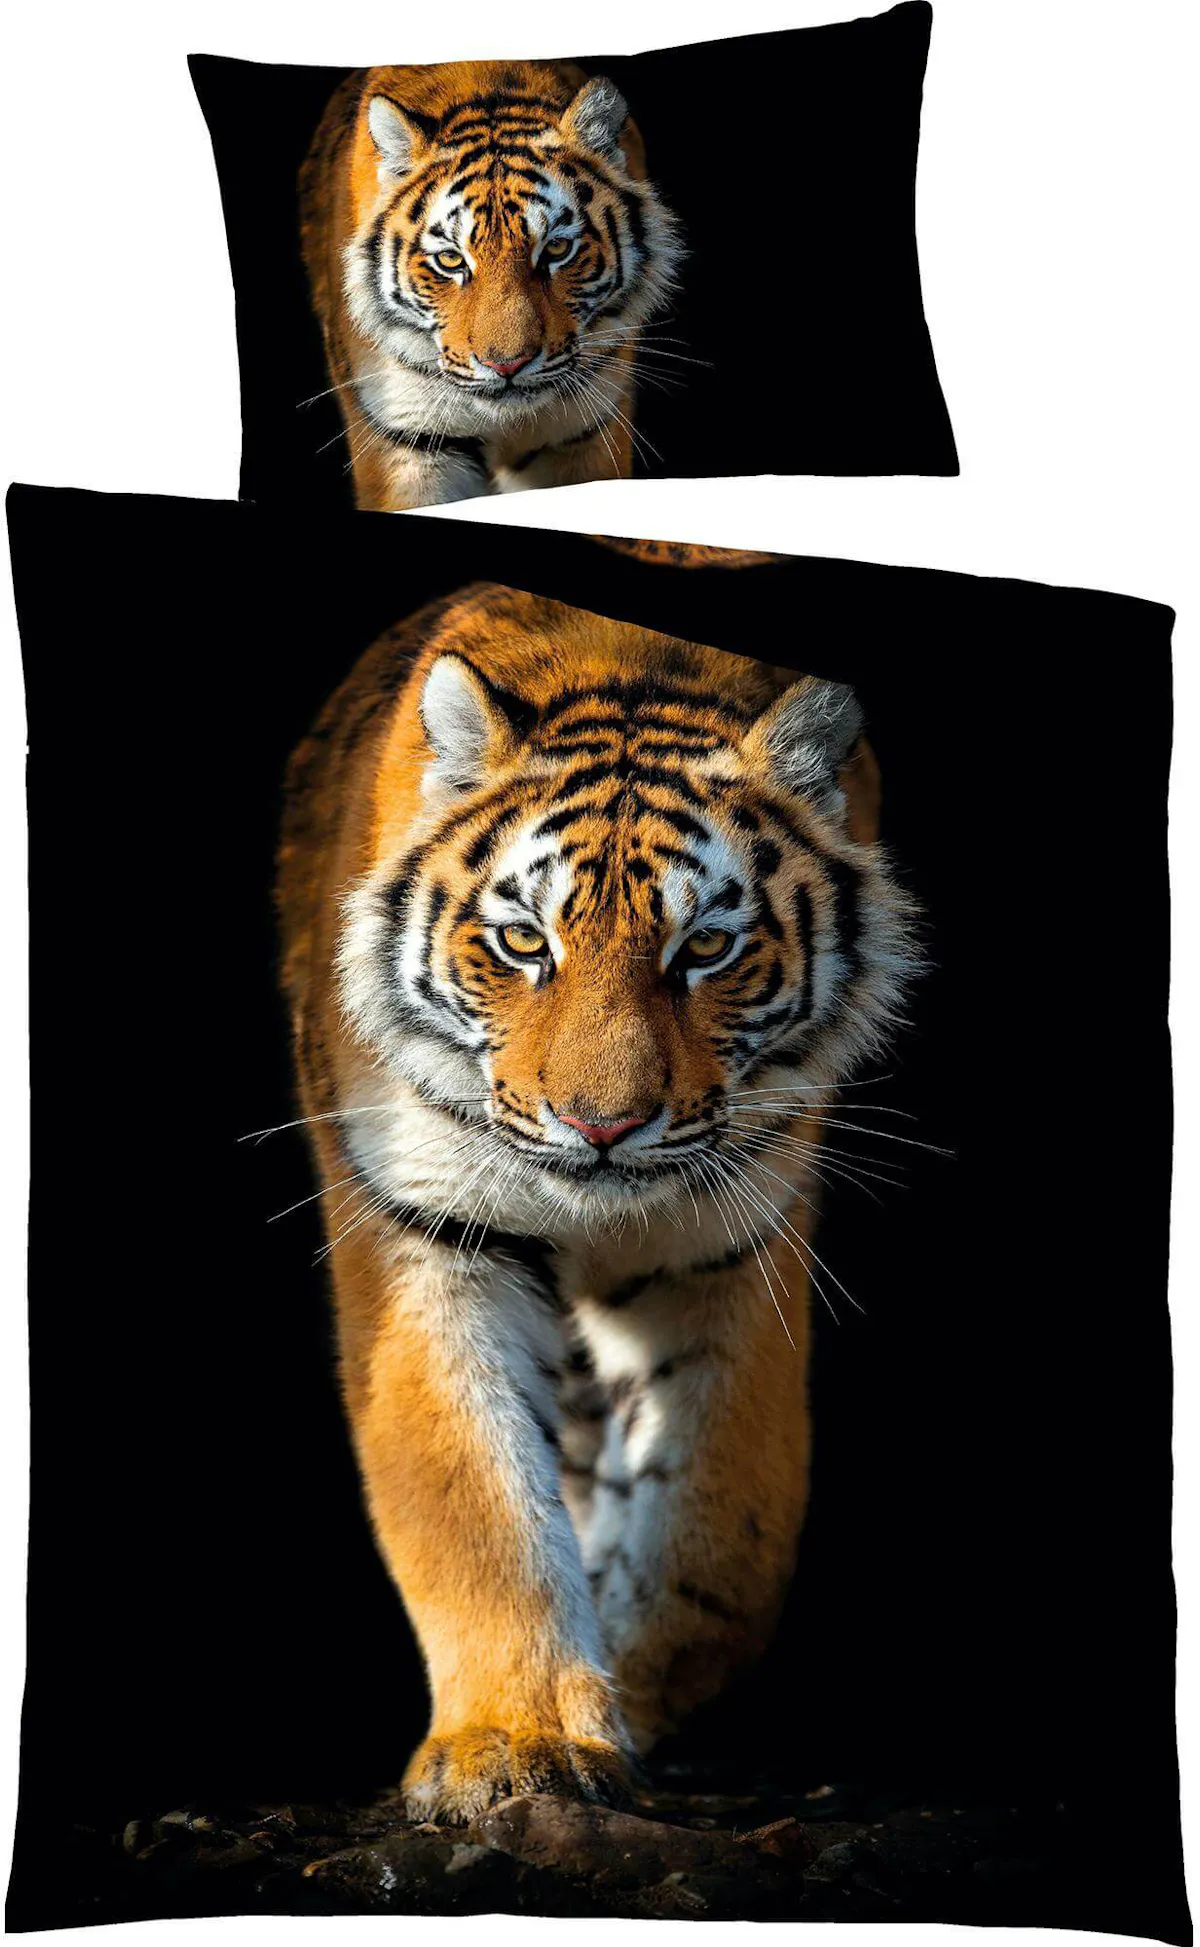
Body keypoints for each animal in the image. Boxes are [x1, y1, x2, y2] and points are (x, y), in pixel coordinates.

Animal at [276, 582, 916, 1822]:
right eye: (524, 942)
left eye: (706, 947)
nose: (602, 1126)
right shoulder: (431, 1234)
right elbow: (474, 1507)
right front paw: (518, 1745)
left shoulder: (735, 1236)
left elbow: (725, 1524)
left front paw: (640, 1694)